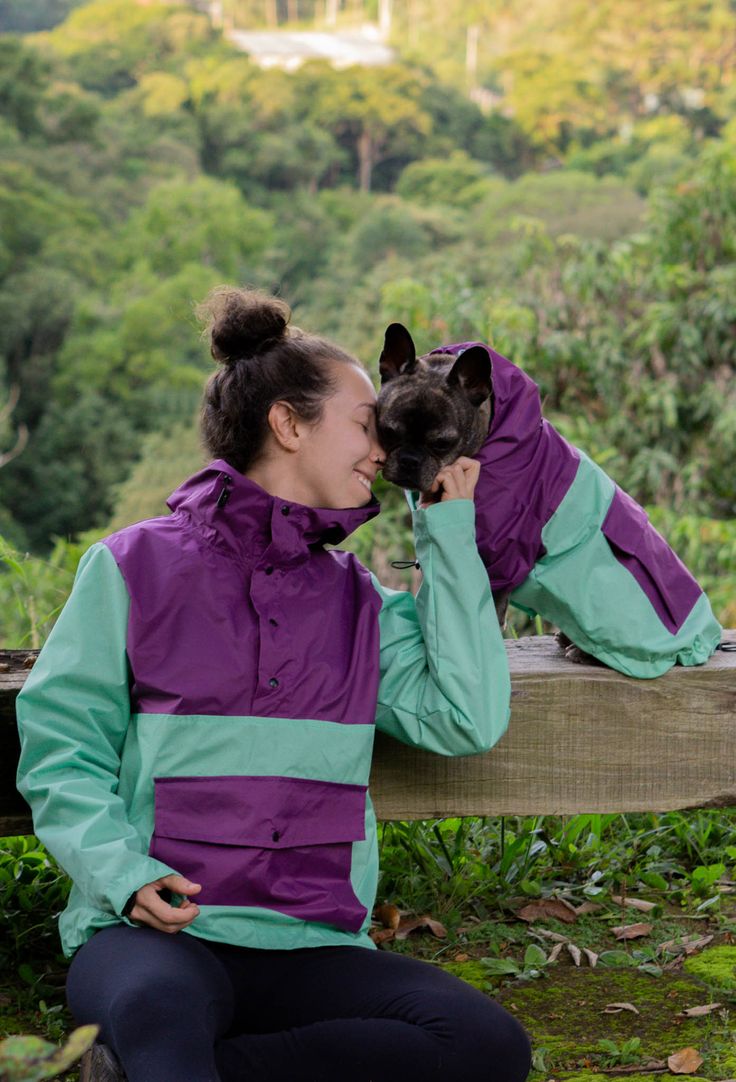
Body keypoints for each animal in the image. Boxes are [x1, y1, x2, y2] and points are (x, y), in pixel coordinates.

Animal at [376, 320, 723, 675]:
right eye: (386, 431)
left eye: (442, 443)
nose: (409, 461)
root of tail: (703, 642)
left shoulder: (500, 558)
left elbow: (488, 610)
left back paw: (585, 652)